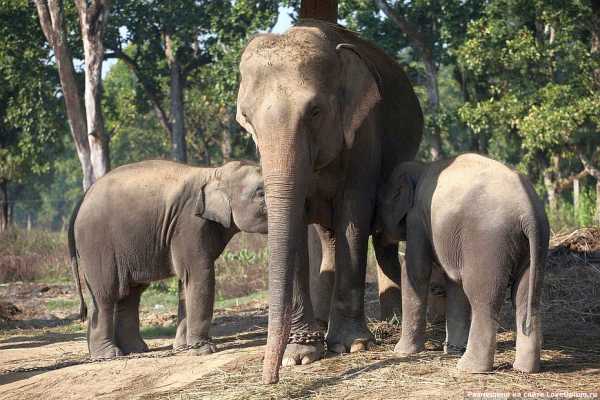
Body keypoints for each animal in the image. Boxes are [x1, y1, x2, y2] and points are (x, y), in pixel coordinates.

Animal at [68, 159, 268, 360]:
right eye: (261, 193)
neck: (214, 173)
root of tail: (80, 201)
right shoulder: (189, 224)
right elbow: (199, 275)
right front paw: (204, 350)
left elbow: (186, 281)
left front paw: (183, 348)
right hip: (96, 244)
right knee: (105, 293)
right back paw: (109, 355)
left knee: (131, 293)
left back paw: (135, 349)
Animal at [234, 19, 422, 384]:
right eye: (247, 118)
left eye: (315, 111)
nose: (269, 379)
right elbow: (296, 222)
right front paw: (299, 356)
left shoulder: (364, 132)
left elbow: (354, 212)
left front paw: (352, 346)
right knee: (328, 235)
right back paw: (323, 322)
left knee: (382, 235)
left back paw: (391, 320)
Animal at [378, 154, 552, 376]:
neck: (420, 168)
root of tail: (528, 212)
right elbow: (454, 282)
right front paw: (451, 350)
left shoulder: (417, 218)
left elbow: (416, 270)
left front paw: (401, 352)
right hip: (535, 244)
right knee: (525, 297)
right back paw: (525, 369)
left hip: (487, 241)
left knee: (482, 298)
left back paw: (469, 367)